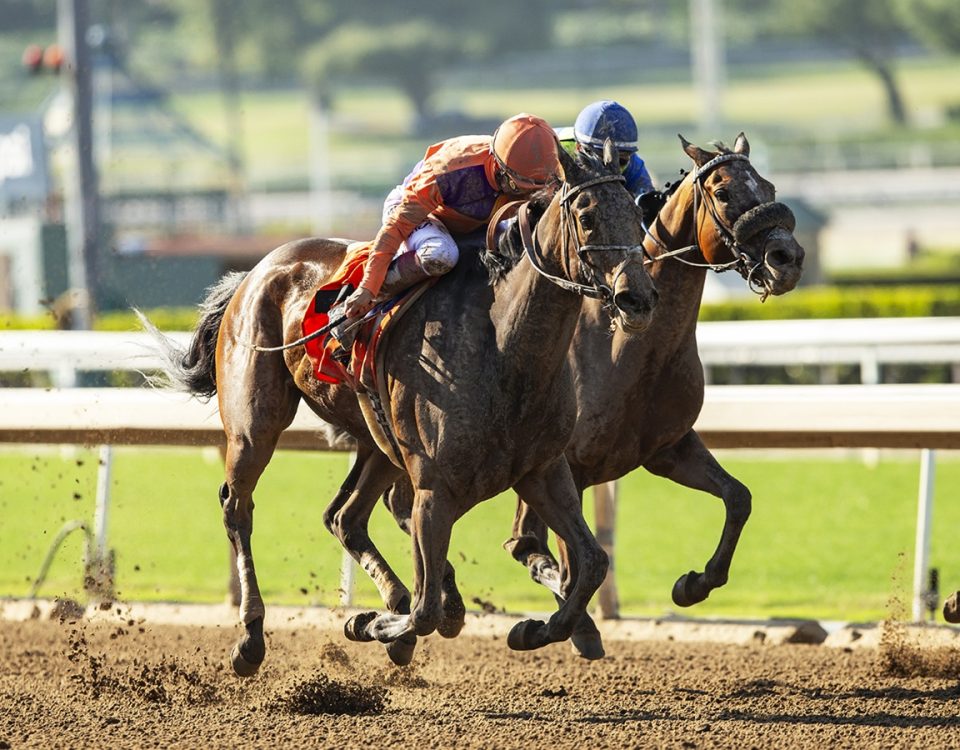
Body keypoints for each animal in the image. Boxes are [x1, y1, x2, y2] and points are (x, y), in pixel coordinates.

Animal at [146, 141, 660, 676]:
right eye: (587, 216)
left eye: (635, 212)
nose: (638, 299)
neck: (503, 346)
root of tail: (256, 270)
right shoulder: (434, 488)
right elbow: (425, 607)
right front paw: (373, 624)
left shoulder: (542, 469)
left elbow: (592, 563)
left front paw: (535, 629)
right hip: (255, 423)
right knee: (239, 507)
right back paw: (251, 637)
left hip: (378, 439)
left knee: (344, 516)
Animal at [506, 132, 808, 656]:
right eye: (723, 192)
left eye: (768, 186)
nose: (786, 259)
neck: (627, 348)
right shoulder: (566, 465)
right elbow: (560, 553)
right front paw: (571, 628)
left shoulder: (667, 448)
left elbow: (738, 497)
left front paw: (694, 584)